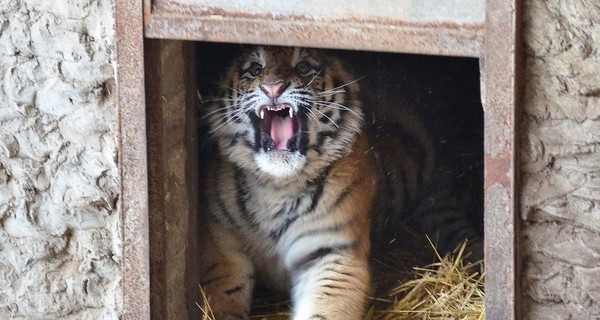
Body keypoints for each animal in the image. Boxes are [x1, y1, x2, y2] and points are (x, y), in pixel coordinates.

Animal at [198, 45, 482, 320]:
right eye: (255, 69)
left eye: (303, 67)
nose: (273, 88)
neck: (276, 185)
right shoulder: (221, 249)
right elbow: (223, 298)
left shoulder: (333, 253)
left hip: (437, 198)